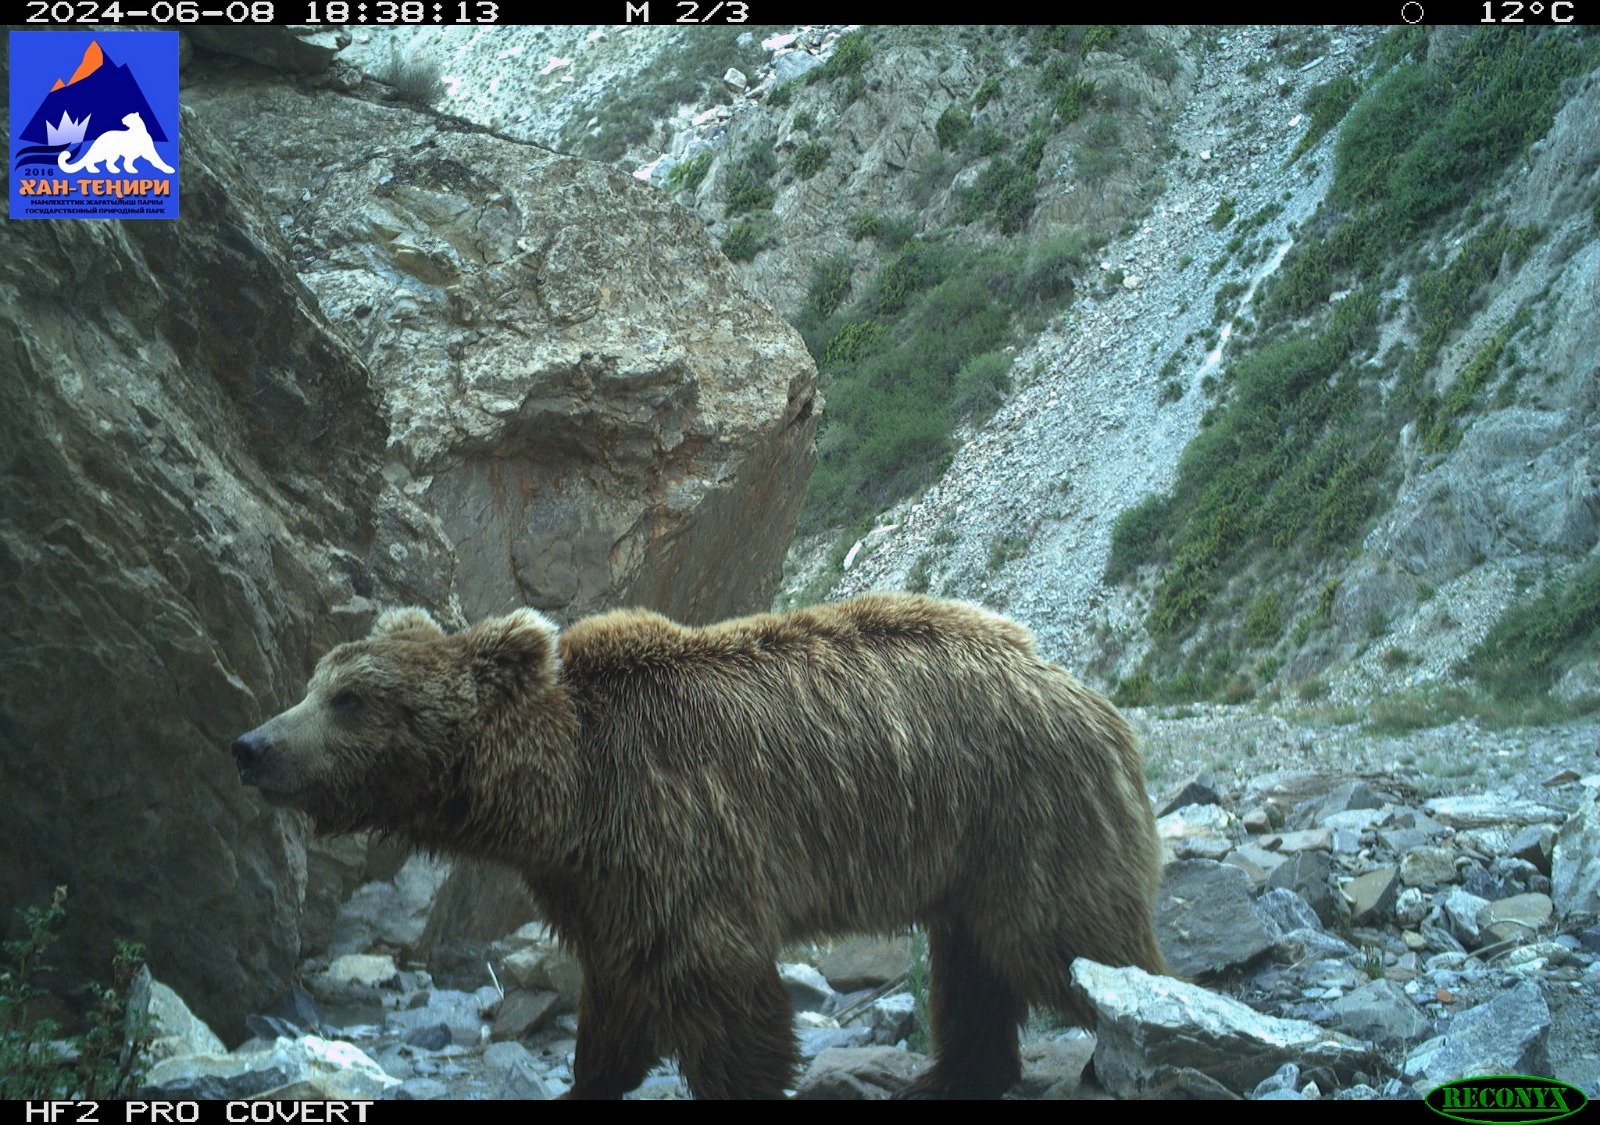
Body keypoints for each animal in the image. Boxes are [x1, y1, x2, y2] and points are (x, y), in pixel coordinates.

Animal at [231, 594, 1166, 1099]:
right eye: (316, 681)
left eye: (350, 697)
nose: (251, 745)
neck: (565, 794)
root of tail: (1086, 691)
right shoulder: (599, 884)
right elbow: (616, 1007)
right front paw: (591, 1075)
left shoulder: (676, 827)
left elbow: (722, 997)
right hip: (970, 853)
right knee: (973, 965)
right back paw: (954, 1072)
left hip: (1026, 813)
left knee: (1069, 943)